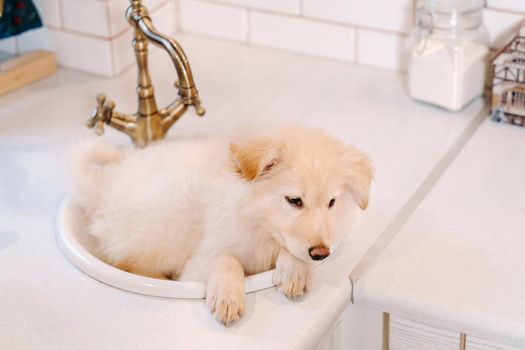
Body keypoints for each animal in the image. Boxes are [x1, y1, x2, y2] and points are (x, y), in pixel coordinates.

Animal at [69, 126, 372, 326]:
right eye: (294, 200)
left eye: (332, 202)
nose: (321, 254)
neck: (257, 225)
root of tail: (101, 185)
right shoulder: (198, 262)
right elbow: (225, 258)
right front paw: (227, 296)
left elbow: (291, 250)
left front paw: (294, 271)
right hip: (162, 222)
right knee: (128, 262)